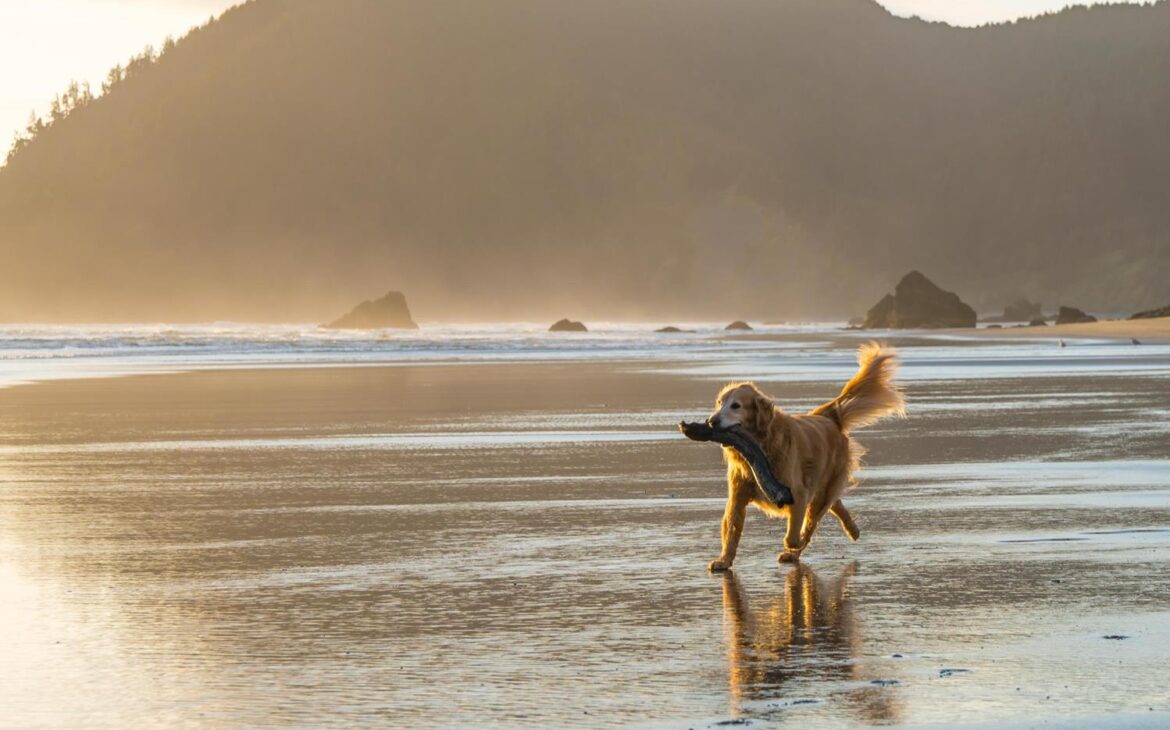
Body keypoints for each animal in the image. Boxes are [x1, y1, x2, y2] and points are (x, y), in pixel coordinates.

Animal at [702, 341, 903, 570]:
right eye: (719, 403)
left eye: (736, 405)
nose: (711, 421)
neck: (761, 446)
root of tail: (827, 417)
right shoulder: (738, 495)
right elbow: (731, 529)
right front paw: (724, 559)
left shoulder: (797, 493)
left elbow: (793, 534)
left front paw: (794, 544)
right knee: (833, 504)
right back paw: (852, 529)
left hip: (821, 486)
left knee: (816, 516)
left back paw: (801, 547)